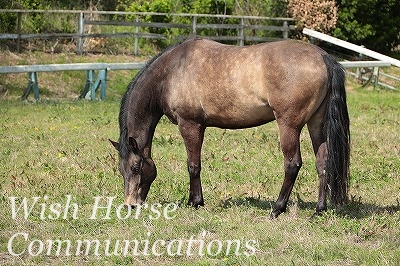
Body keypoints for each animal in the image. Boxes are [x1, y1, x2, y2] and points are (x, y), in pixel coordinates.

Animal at [110, 37, 350, 218]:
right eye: (121, 170)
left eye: (136, 168)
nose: (130, 204)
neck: (172, 71)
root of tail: (324, 57)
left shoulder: (190, 125)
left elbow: (193, 165)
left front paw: (195, 202)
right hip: (317, 123)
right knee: (322, 163)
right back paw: (319, 210)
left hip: (289, 125)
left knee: (293, 164)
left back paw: (277, 209)